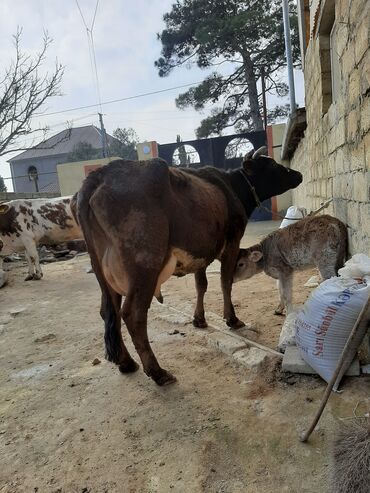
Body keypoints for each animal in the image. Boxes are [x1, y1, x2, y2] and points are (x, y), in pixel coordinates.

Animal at [74, 149, 300, 384]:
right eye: (272, 165)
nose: (298, 174)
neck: (231, 187)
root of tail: (99, 175)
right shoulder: (232, 242)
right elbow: (225, 282)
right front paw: (232, 319)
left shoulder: (202, 252)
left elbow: (201, 285)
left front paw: (199, 319)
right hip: (144, 265)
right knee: (133, 314)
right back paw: (157, 372)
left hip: (104, 274)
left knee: (109, 311)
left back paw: (126, 363)